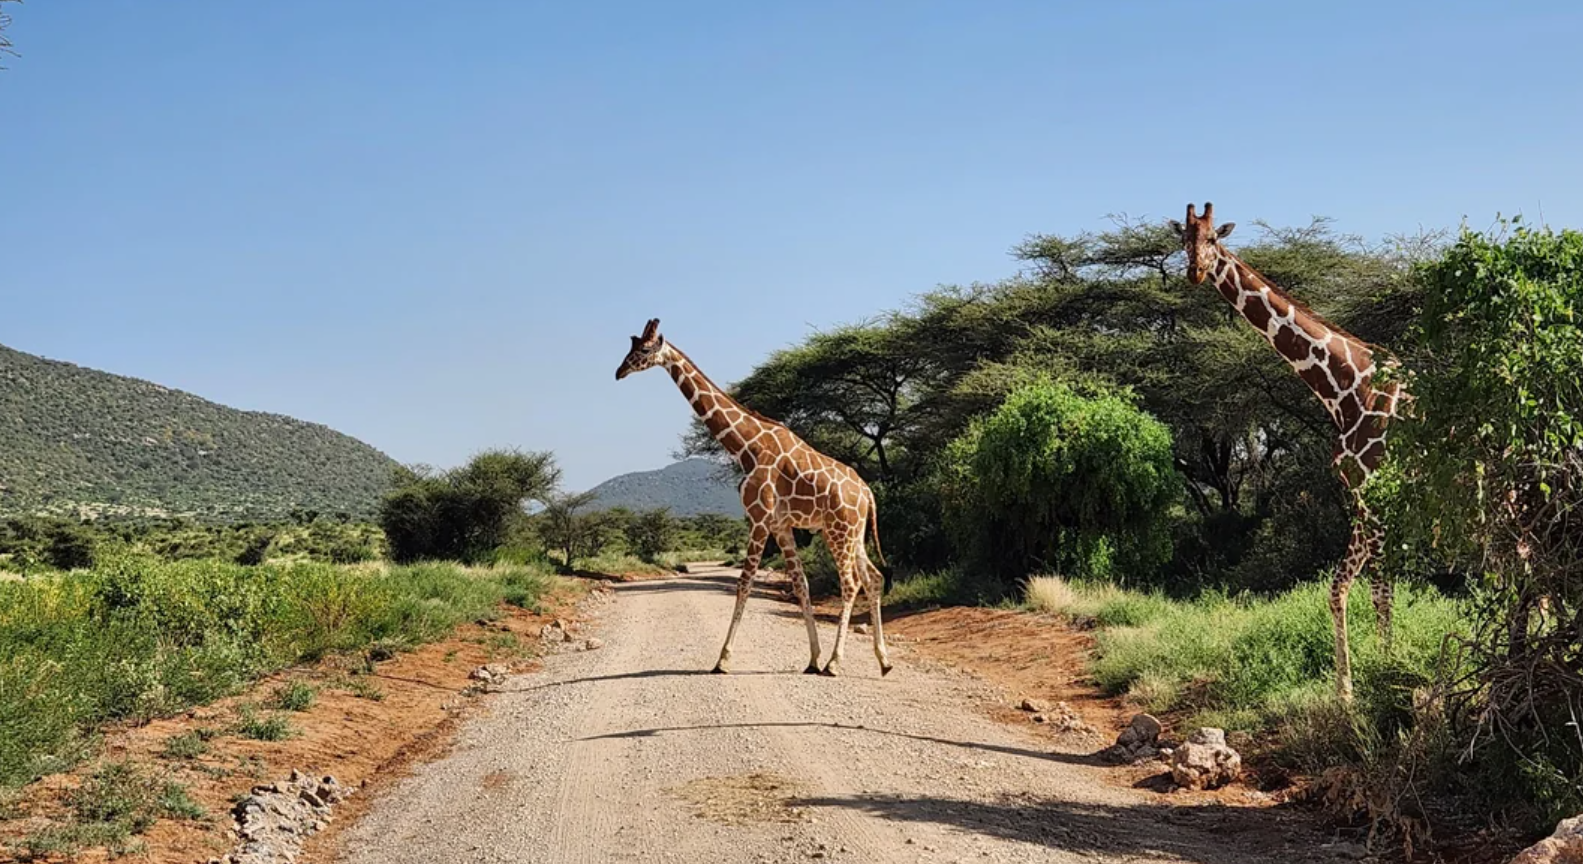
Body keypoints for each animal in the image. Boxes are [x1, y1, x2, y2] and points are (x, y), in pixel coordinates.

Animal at [615, 318, 893, 678]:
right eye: (632, 345)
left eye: (645, 349)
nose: (619, 371)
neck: (747, 447)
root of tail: (868, 493)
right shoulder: (780, 525)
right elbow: (800, 583)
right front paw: (812, 658)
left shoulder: (759, 519)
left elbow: (744, 582)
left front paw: (723, 659)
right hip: (855, 532)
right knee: (873, 578)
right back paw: (883, 661)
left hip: (838, 530)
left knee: (851, 582)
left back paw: (835, 663)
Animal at [1170, 203, 1408, 701]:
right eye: (1183, 239)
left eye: (1213, 240)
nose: (1195, 271)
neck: (1346, 389)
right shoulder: (1359, 496)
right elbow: (1340, 589)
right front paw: (1346, 692)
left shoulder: (1377, 489)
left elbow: (1379, 591)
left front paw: (1387, 676)